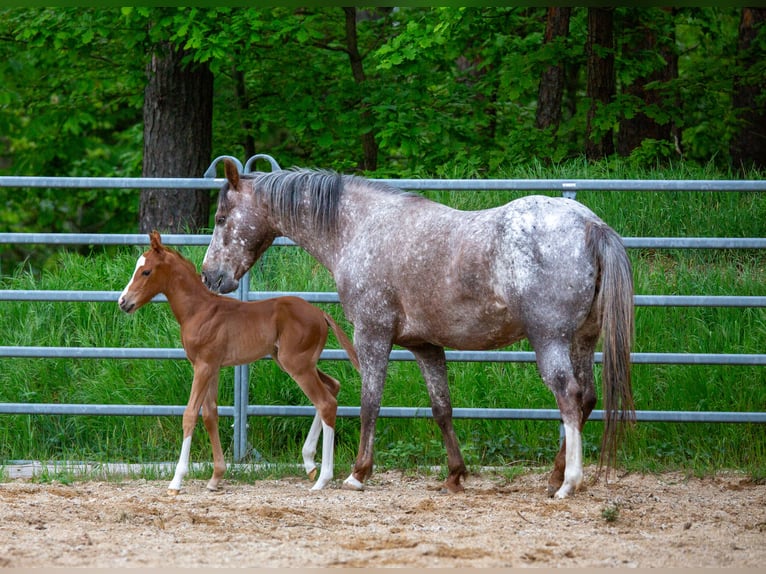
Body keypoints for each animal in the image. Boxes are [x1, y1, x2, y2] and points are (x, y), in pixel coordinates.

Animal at [118, 230, 360, 495]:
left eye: (146, 271)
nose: (123, 302)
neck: (199, 311)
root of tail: (321, 314)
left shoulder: (203, 366)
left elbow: (190, 414)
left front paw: (176, 481)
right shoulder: (211, 368)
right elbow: (210, 415)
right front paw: (215, 477)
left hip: (297, 364)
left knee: (325, 402)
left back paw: (322, 478)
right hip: (296, 362)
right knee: (332, 387)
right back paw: (309, 463)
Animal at [201, 159, 635, 499]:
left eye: (221, 219)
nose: (210, 276)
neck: (360, 227)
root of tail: (591, 225)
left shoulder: (372, 335)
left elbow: (369, 403)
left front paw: (358, 473)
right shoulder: (425, 346)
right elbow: (442, 409)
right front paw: (455, 475)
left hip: (549, 340)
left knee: (569, 396)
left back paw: (568, 482)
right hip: (581, 340)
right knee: (587, 398)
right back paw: (555, 476)